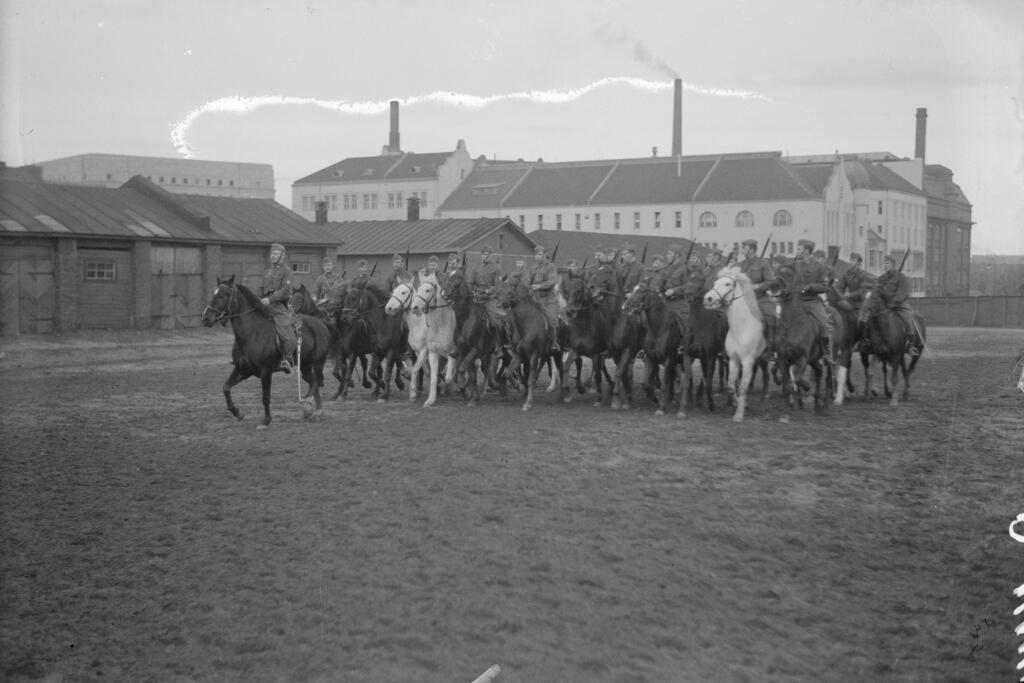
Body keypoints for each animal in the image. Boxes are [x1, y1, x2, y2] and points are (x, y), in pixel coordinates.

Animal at [199, 276, 327, 428]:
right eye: (215, 292)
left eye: (224, 294)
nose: (206, 318)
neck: (253, 333)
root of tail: (320, 324)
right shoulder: (242, 369)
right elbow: (226, 388)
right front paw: (237, 412)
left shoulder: (265, 371)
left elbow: (265, 397)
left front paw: (266, 420)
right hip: (305, 365)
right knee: (313, 381)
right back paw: (315, 410)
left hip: (317, 363)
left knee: (317, 380)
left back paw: (309, 405)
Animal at [704, 266, 770, 421]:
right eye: (715, 283)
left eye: (727, 284)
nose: (708, 298)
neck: (742, 328)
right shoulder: (734, 360)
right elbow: (730, 385)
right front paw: (737, 403)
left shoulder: (747, 362)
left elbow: (743, 387)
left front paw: (739, 414)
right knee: (766, 376)